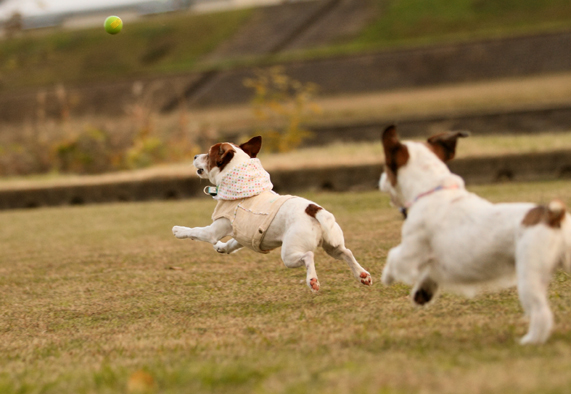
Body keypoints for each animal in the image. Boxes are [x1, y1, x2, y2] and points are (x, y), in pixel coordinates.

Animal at [172, 135, 374, 292]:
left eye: (208, 155)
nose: (195, 155)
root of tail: (313, 210)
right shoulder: (244, 233)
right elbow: (232, 243)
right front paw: (221, 248)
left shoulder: (214, 229)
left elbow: (196, 231)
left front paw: (178, 230)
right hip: (332, 243)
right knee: (345, 252)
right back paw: (362, 275)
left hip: (290, 252)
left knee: (309, 256)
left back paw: (312, 281)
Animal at [380, 124, 571, 344]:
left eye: (387, 168)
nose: (381, 180)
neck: (434, 190)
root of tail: (552, 216)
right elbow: (429, 273)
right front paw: (423, 292)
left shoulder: (410, 251)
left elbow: (393, 256)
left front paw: (386, 276)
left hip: (530, 275)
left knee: (541, 313)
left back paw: (530, 341)